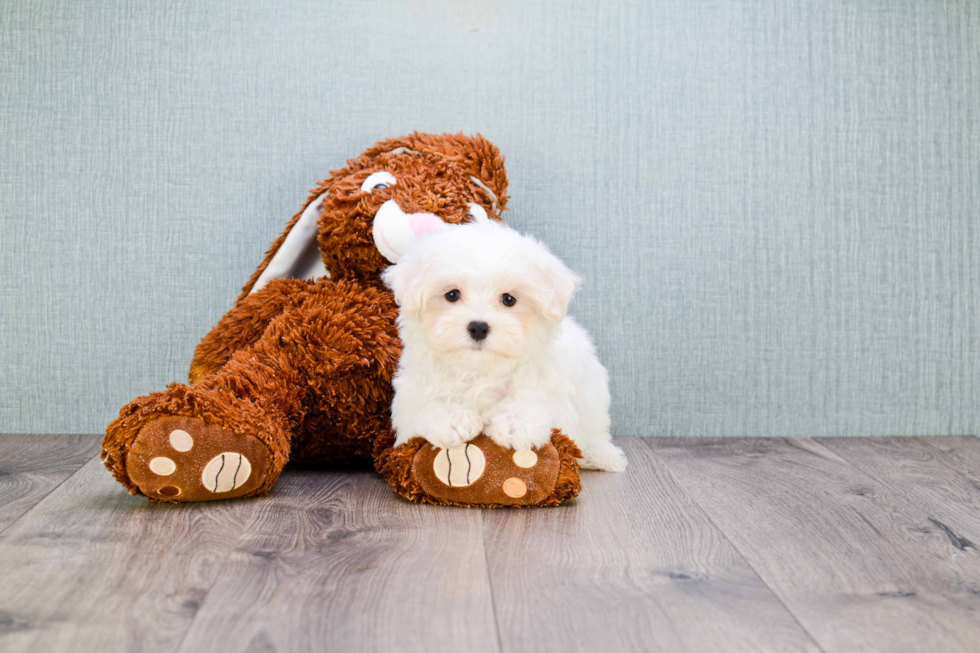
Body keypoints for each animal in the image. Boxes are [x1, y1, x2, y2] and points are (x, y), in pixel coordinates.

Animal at [382, 222, 628, 472]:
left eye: (508, 299)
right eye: (452, 294)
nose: (478, 327)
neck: (481, 369)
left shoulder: (550, 385)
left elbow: (536, 398)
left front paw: (515, 424)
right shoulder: (412, 392)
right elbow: (425, 404)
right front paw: (451, 420)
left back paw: (600, 455)